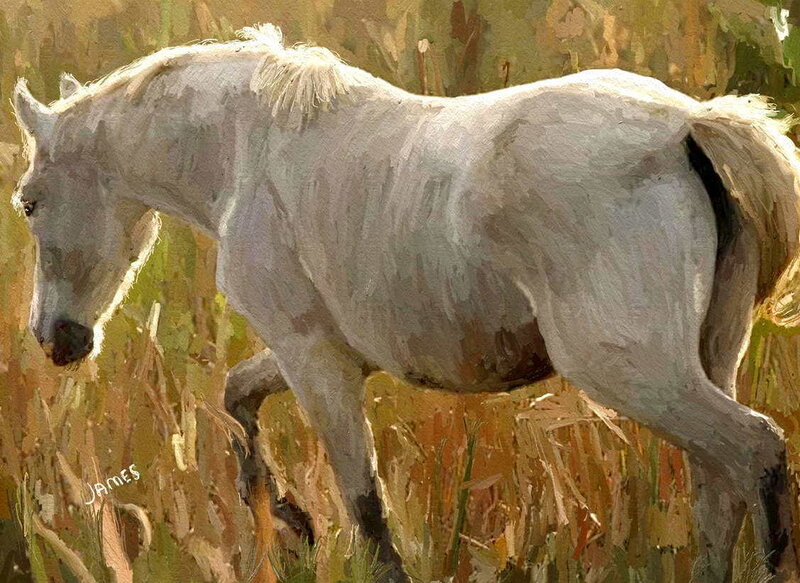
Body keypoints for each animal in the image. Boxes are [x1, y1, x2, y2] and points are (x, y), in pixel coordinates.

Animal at [12, 23, 800, 582]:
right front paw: (285, 517)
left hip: (632, 371)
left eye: (28, 202)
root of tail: (688, 125)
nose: (56, 339)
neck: (248, 150)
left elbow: (365, 507)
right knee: (716, 491)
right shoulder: (319, 354)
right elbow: (238, 396)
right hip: (706, 359)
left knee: (756, 451)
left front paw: (294, 520)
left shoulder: (314, 359)